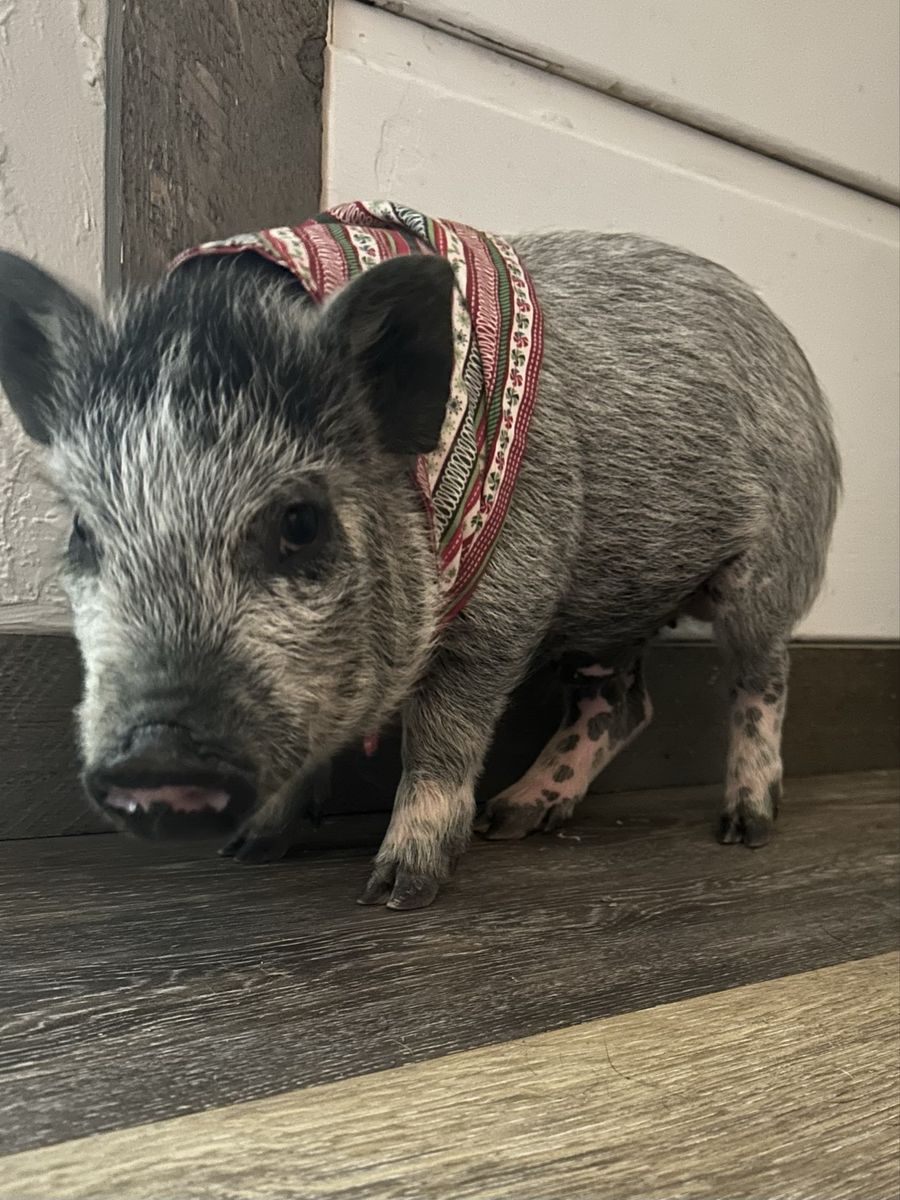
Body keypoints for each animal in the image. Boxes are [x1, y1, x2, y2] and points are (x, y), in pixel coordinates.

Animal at [0, 209, 840, 909]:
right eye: (82, 531)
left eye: (301, 522)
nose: (154, 758)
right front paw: (247, 852)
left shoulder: (507, 604)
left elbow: (442, 741)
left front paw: (398, 892)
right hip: (609, 616)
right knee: (624, 705)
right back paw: (518, 816)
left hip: (771, 568)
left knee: (762, 679)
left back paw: (743, 827)